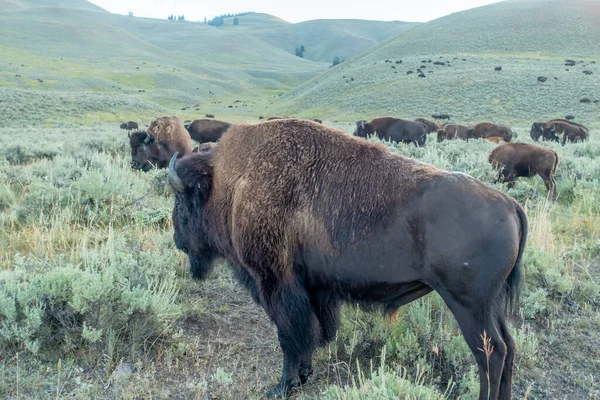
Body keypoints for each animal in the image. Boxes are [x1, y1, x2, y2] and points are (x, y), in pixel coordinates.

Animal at [168, 119, 524, 400]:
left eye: (180, 199)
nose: (177, 240)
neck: (233, 183)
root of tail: (509, 204)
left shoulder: (276, 284)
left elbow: (289, 336)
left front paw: (281, 387)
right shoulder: (312, 290)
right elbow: (309, 334)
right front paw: (303, 376)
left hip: (468, 305)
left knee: (490, 354)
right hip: (490, 304)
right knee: (508, 347)